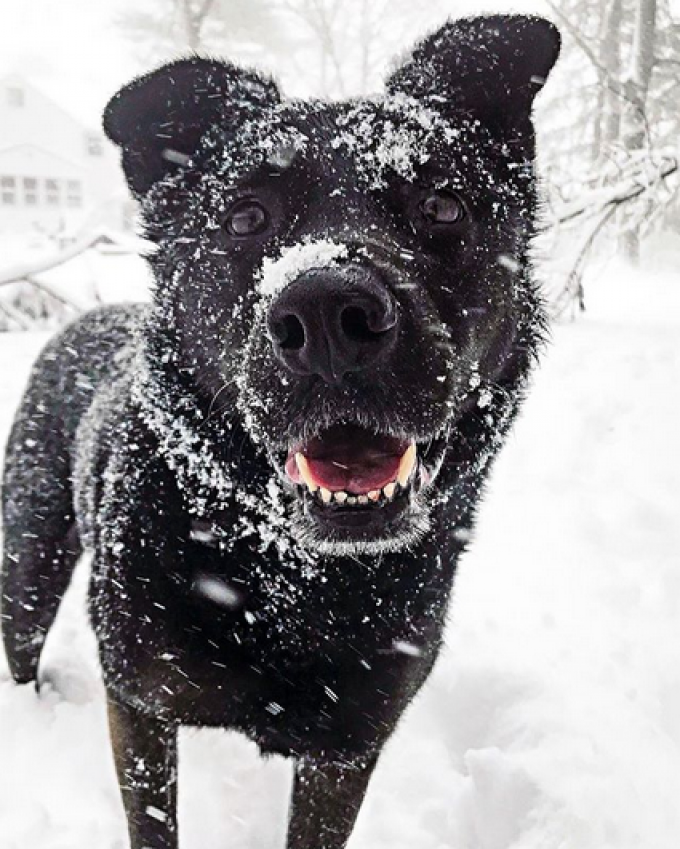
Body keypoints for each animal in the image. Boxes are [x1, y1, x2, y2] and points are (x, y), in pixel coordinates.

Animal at [1, 14, 556, 848]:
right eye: (245, 216)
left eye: (443, 206)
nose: (329, 314)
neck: (290, 574)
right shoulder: (138, 703)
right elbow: (153, 820)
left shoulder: (350, 745)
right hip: (27, 567)